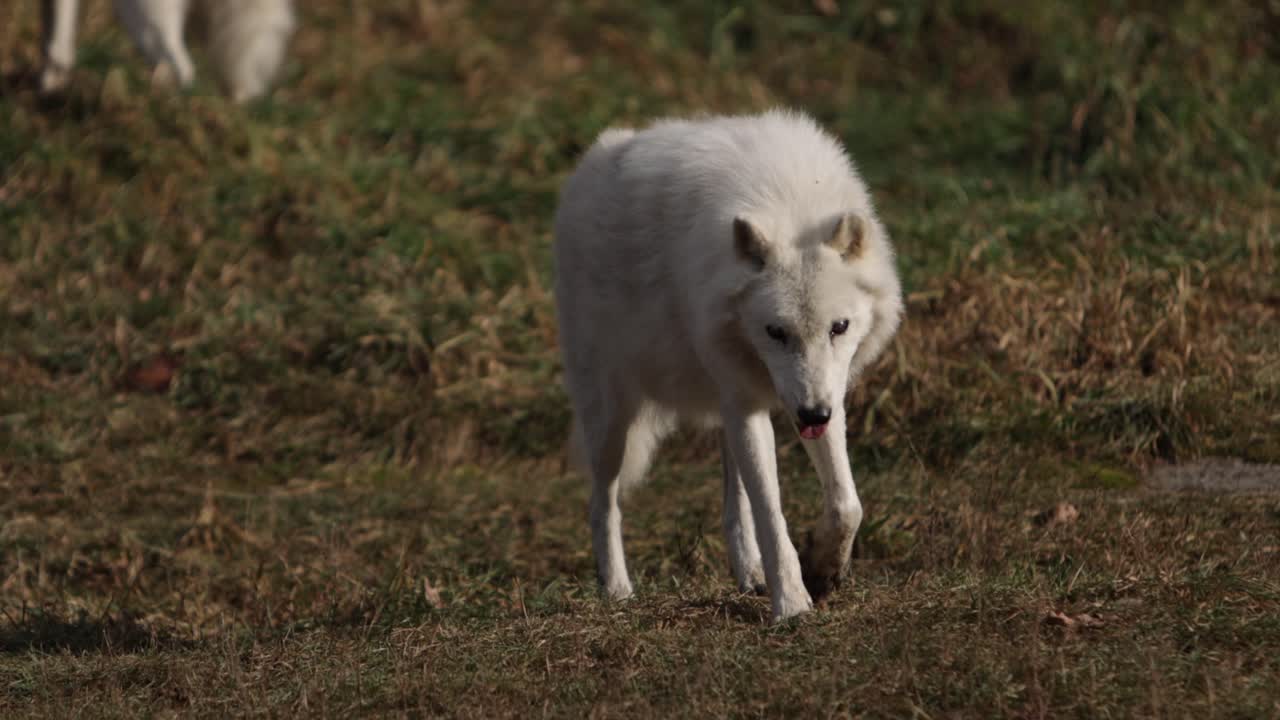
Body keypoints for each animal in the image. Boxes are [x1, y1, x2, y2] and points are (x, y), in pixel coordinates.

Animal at [554, 109, 904, 622]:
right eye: (776, 332)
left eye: (839, 327)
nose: (812, 415)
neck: (788, 200)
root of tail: (590, 162)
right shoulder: (753, 402)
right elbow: (772, 516)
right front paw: (792, 605)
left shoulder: (819, 394)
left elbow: (846, 505)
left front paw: (823, 572)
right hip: (612, 419)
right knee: (603, 504)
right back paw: (617, 590)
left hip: (727, 408)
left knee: (731, 503)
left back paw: (750, 575)